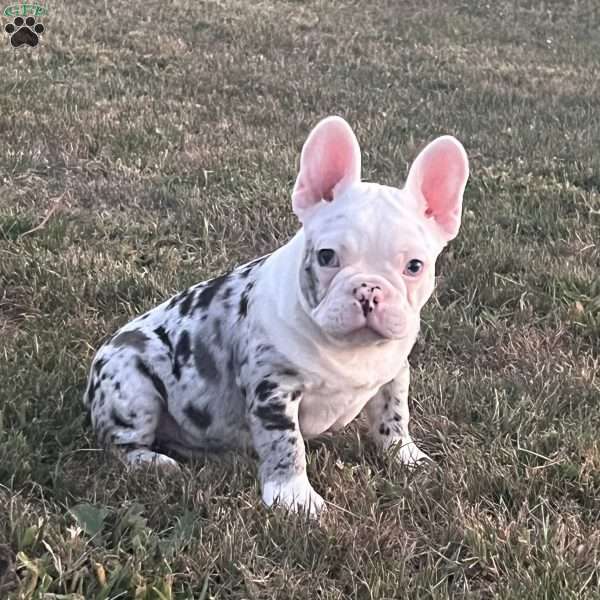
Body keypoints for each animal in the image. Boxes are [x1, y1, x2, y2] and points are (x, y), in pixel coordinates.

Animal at [84, 116, 468, 516]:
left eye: (414, 266)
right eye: (327, 256)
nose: (368, 289)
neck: (350, 349)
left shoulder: (394, 373)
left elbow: (394, 416)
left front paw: (406, 457)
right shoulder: (274, 389)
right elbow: (286, 443)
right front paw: (294, 499)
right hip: (131, 384)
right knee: (120, 443)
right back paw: (154, 463)